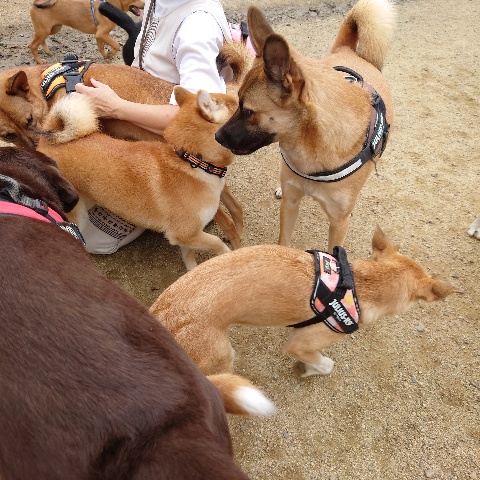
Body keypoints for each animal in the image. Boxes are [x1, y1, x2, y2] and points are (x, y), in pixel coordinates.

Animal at [149, 226, 459, 383]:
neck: (359, 284)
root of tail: (161, 316)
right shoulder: (303, 343)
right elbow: (325, 363)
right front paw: (308, 369)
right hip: (223, 356)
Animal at [216, 0, 396, 253]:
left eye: (248, 111)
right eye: (237, 101)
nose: (217, 135)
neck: (309, 150)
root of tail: (353, 52)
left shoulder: (338, 223)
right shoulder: (290, 204)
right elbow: (283, 242)